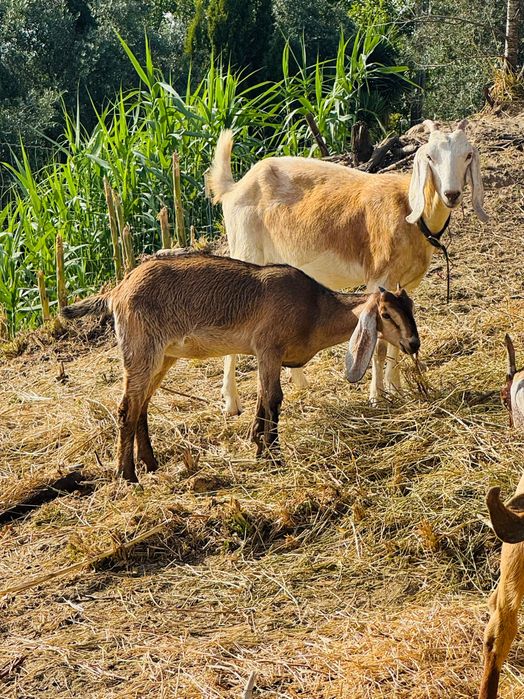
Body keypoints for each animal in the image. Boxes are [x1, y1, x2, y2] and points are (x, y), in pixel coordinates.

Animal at [61, 252, 420, 483]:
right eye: (386, 314)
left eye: (411, 307)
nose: (413, 343)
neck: (314, 309)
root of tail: (116, 292)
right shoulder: (268, 348)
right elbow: (273, 399)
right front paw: (271, 452)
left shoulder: (267, 355)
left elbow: (263, 399)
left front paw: (258, 443)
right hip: (141, 351)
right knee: (126, 408)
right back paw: (128, 474)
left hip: (163, 356)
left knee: (141, 407)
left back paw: (150, 464)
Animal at [209, 119, 487, 415]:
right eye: (430, 157)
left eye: (467, 155)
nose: (451, 194)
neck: (409, 210)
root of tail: (233, 188)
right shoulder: (379, 278)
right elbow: (378, 343)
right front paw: (377, 397)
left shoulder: (405, 285)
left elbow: (396, 340)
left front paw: (398, 390)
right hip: (245, 249)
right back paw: (231, 402)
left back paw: (301, 385)